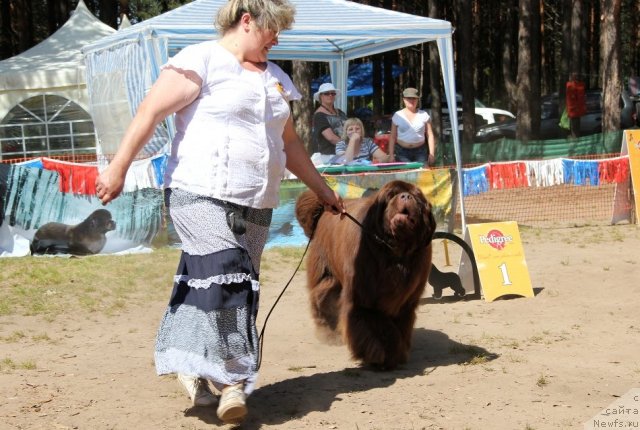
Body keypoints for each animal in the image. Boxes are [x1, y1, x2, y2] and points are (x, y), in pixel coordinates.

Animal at [296, 180, 436, 368]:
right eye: (391, 195)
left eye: (417, 197)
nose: (406, 196)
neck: (395, 251)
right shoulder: (364, 294)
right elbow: (377, 325)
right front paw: (383, 356)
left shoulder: (406, 299)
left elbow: (399, 325)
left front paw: (397, 353)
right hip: (326, 271)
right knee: (322, 298)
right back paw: (329, 333)